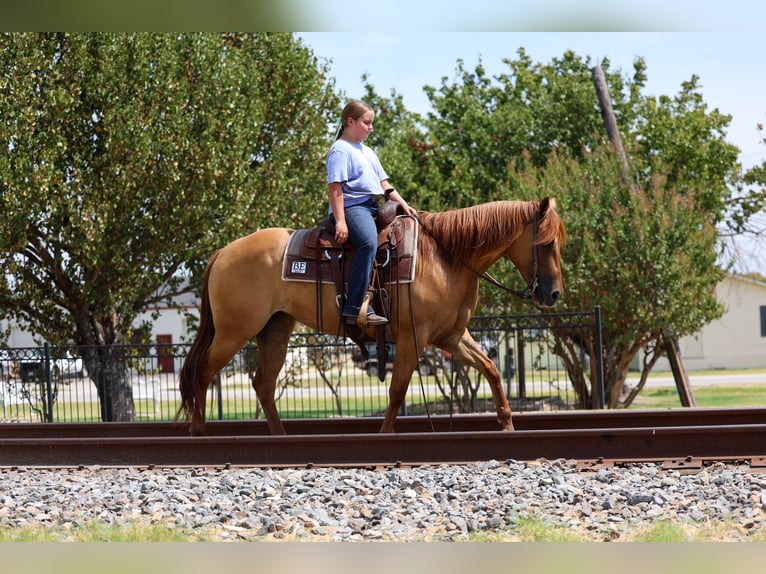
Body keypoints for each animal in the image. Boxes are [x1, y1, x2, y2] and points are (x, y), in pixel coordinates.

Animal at [177, 197, 565, 435]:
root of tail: (223, 252)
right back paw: (198, 430)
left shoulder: (452, 337)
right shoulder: (413, 338)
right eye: (547, 243)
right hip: (234, 332)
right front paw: (385, 435)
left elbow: (492, 369)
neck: (445, 257)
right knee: (203, 372)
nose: (554, 294)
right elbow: (397, 391)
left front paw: (507, 424)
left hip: (275, 330)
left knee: (263, 384)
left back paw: (281, 436)